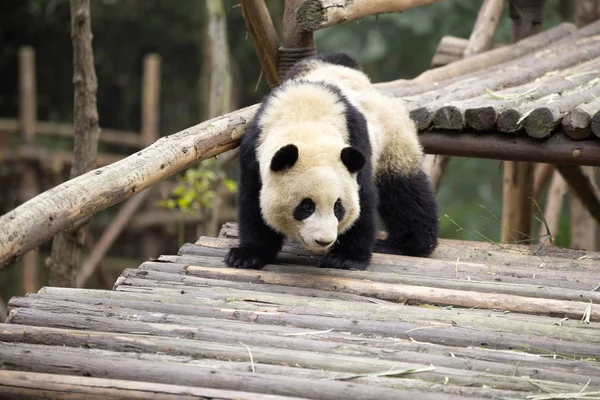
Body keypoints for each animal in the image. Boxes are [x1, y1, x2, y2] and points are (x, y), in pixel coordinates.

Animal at [225, 51, 436, 270]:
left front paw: (345, 258)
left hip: (392, 139)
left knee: (405, 191)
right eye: (306, 206)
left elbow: (364, 197)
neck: (305, 115)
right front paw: (248, 255)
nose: (323, 241)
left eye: (338, 207)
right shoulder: (254, 147)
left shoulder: (356, 140)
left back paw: (407, 244)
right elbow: (252, 200)